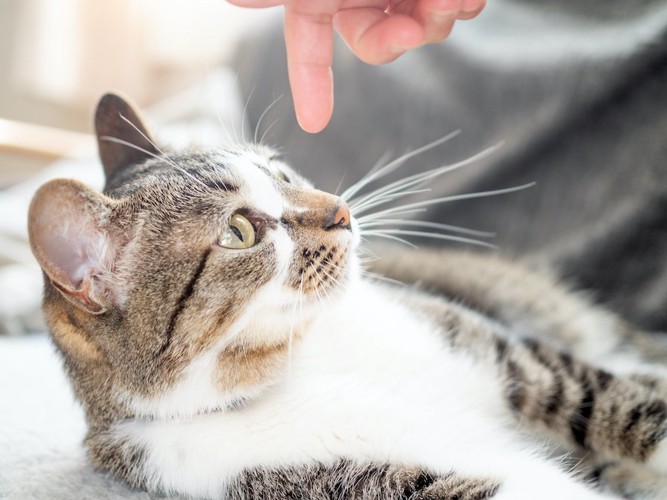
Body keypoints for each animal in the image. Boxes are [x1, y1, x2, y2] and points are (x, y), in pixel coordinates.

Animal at [28, 93, 667, 496]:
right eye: (239, 231)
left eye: (281, 171)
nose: (341, 209)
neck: (308, 355)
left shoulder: (504, 355)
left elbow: (619, 402)